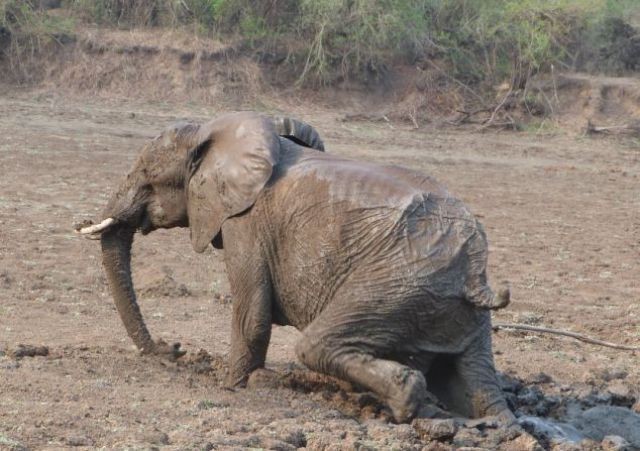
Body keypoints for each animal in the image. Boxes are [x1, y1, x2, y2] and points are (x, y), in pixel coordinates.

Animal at [77, 112, 512, 424]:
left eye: (146, 176)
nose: (173, 349)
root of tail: (475, 273)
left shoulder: (246, 221)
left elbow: (251, 315)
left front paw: (232, 387)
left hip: (400, 283)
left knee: (316, 345)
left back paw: (404, 399)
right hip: (452, 307)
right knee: (475, 381)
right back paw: (494, 425)